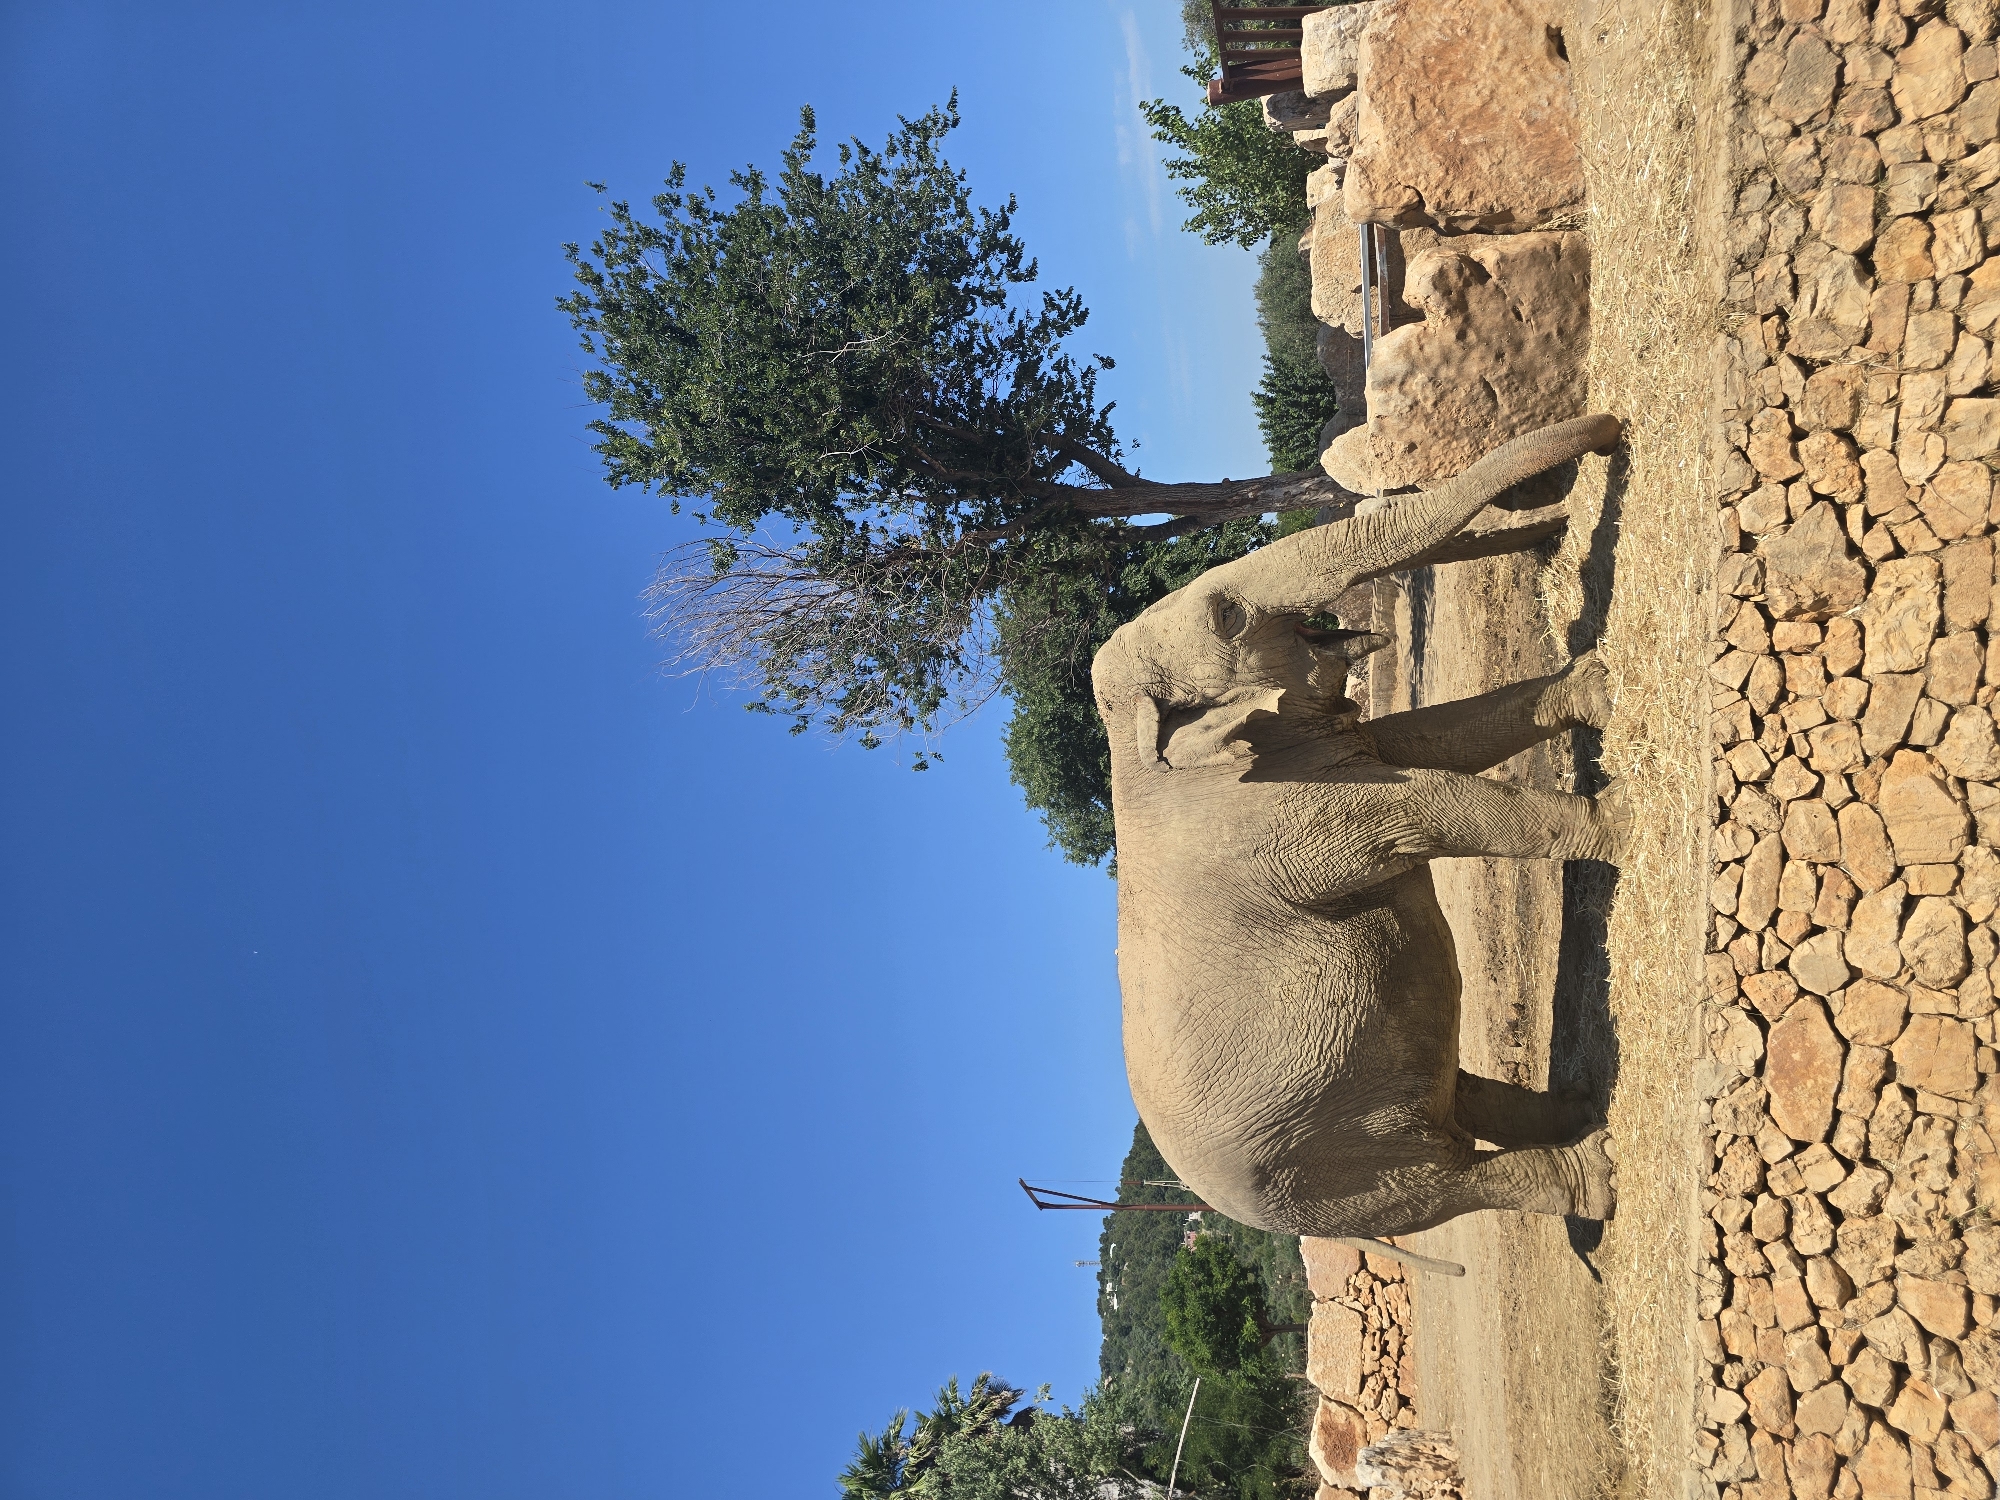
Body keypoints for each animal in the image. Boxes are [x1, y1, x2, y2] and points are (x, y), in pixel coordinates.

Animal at [1089, 413, 1627, 1241]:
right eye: (1229, 617)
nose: (1608, 431)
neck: (1130, 744)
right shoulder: (1278, 822)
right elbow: (1425, 805)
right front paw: (1624, 821)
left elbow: (1441, 738)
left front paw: (1596, 684)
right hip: (1331, 1182)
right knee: (1448, 1184)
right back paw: (1598, 1169)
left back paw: (1579, 1108)